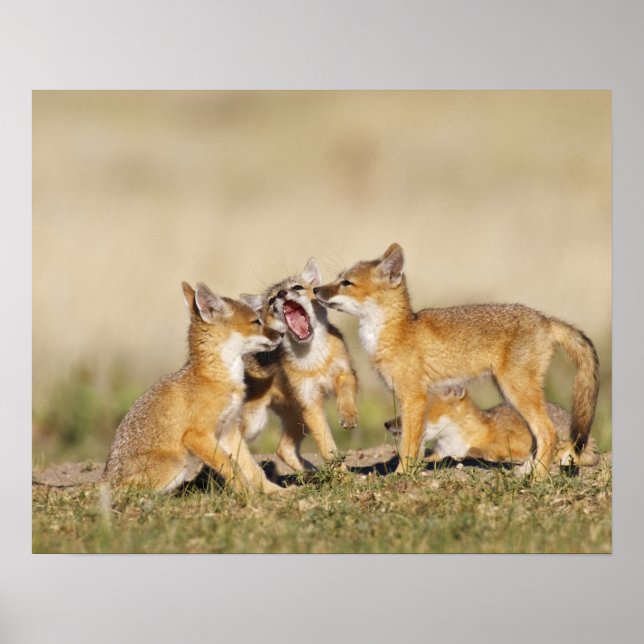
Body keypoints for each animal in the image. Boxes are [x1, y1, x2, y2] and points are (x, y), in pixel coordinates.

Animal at [103, 282, 285, 495]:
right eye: (257, 321)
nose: (282, 334)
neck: (217, 378)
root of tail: (105, 478)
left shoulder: (228, 430)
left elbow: (252, 468)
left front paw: (275, 491)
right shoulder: (196, 435)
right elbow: (228, 464)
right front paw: (246, 494)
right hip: (177, 463)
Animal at [233, 258, 358, 472]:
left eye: (297, 287)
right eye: (271, 300)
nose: (282, 294)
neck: (315, 360)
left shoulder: (346, 372)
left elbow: (346, 392)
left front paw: (348, 414)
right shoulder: (310, 404)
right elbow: (327, 447)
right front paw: (342, 475)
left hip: (296, 419)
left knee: (282, 450)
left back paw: (310, 474)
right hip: (255, 422)